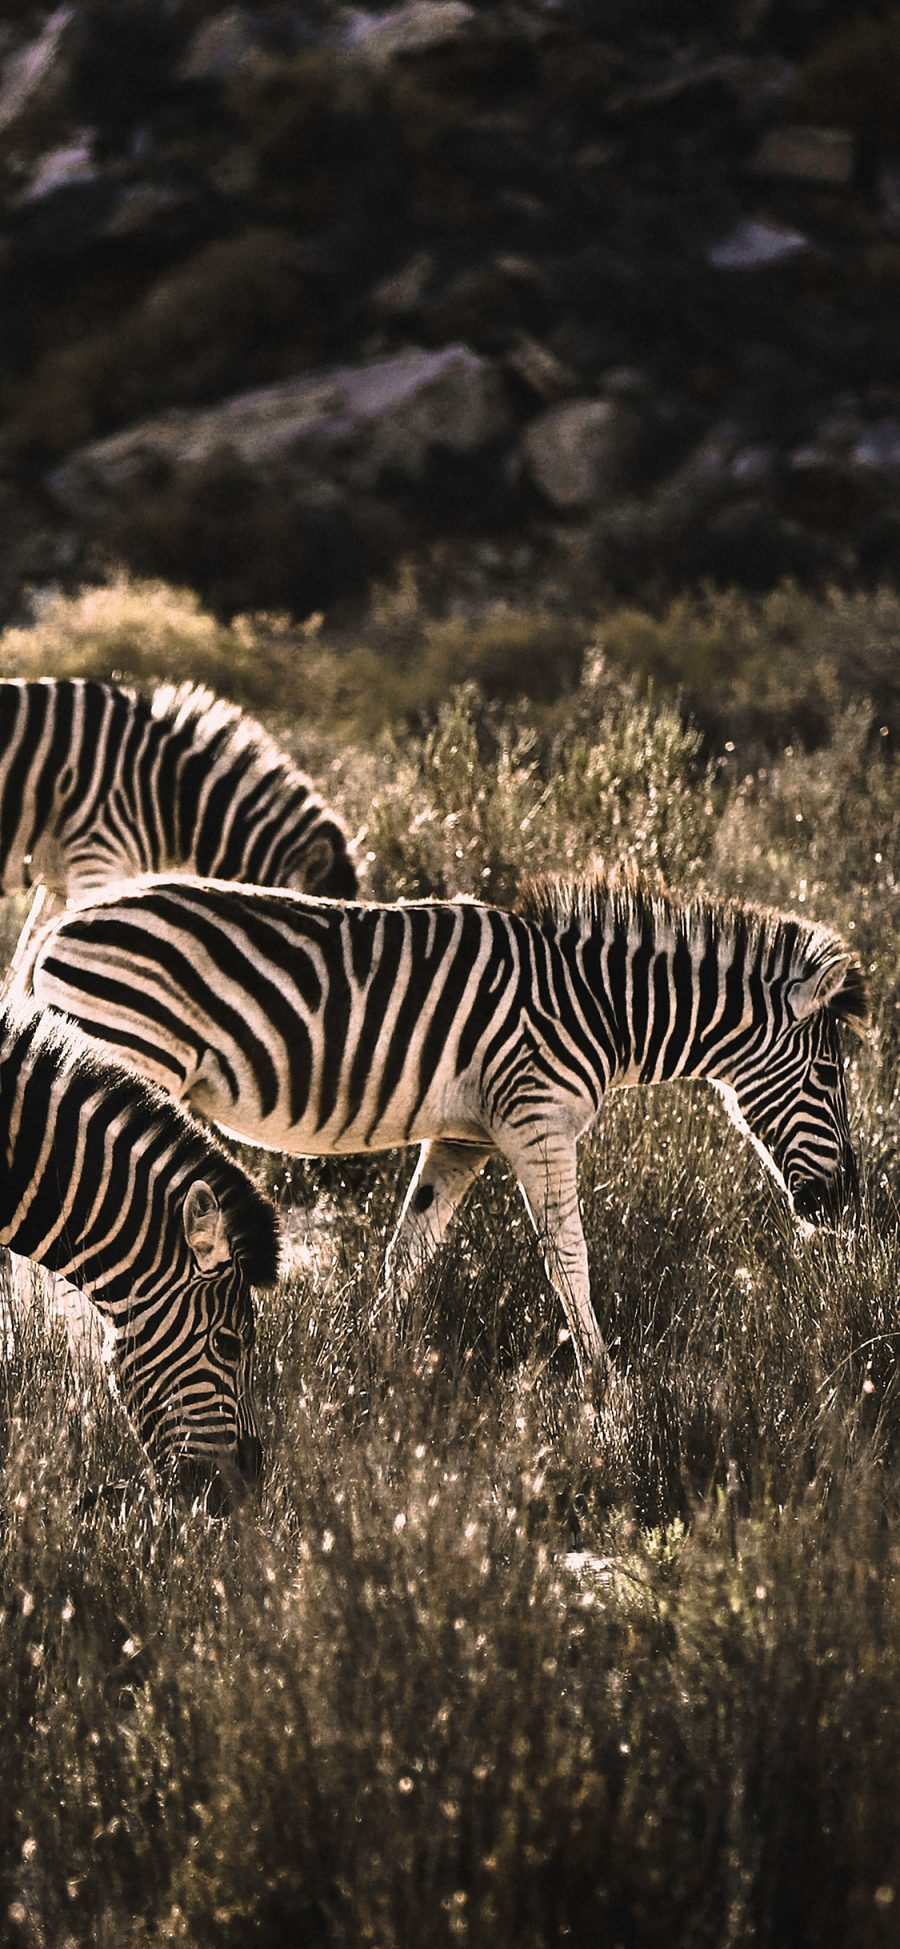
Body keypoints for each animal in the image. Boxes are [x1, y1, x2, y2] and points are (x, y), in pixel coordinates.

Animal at [17, 869, 868, 1387]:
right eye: (829, 1076)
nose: (842, 1204)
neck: (600, 1008)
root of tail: (58, 928)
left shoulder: (464, 1138)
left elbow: (409, 1250)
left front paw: (363, 1358)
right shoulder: (537, 1120)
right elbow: (569, 1257)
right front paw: (606, 1386)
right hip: (126, 1053)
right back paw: (60, 1372)